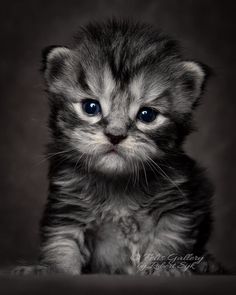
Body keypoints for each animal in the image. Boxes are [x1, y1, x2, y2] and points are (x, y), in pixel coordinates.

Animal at [13, 19, 222, 276]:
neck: (118, 185)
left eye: (147, 115)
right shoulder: (67, 207)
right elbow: (61, 243)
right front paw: (51, 269)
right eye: (90, 107)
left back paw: (205, 263)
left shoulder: (177, 207)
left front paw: (165, 269)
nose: (115, 135)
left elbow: (169, 241)